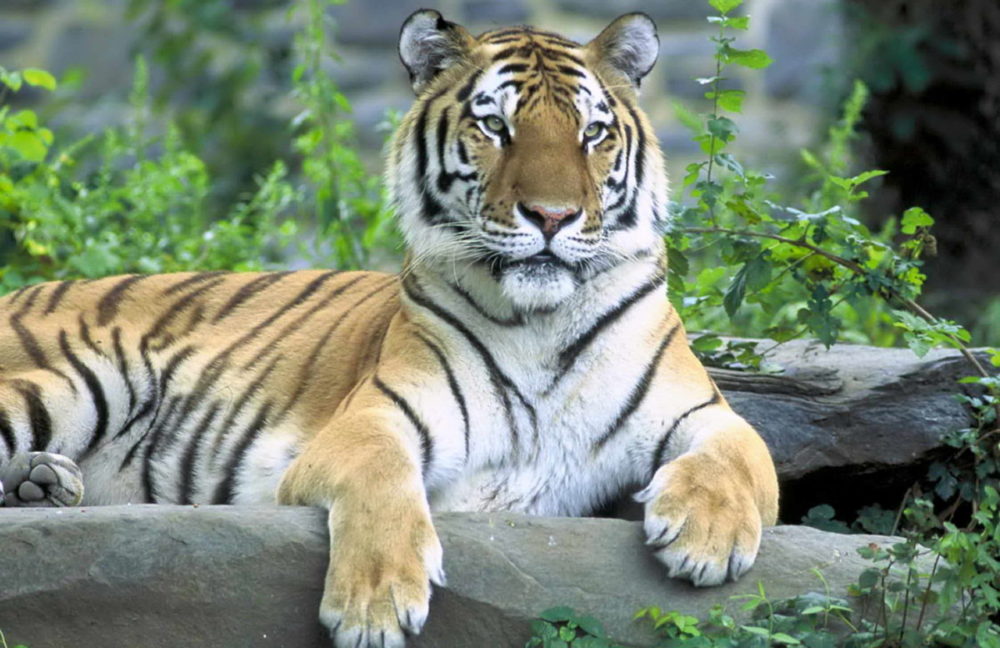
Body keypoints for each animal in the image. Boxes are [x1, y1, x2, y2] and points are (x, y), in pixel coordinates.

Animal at [0, 10, 779, 648]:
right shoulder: (373, 419)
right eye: (496, 127)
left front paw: (706, 540)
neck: (540, 322)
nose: (553, 217)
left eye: (593, 133)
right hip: (88, 377)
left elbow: (741, 455)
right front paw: (373, 607)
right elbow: (382, 480)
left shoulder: (703, 411)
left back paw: (41, 484)